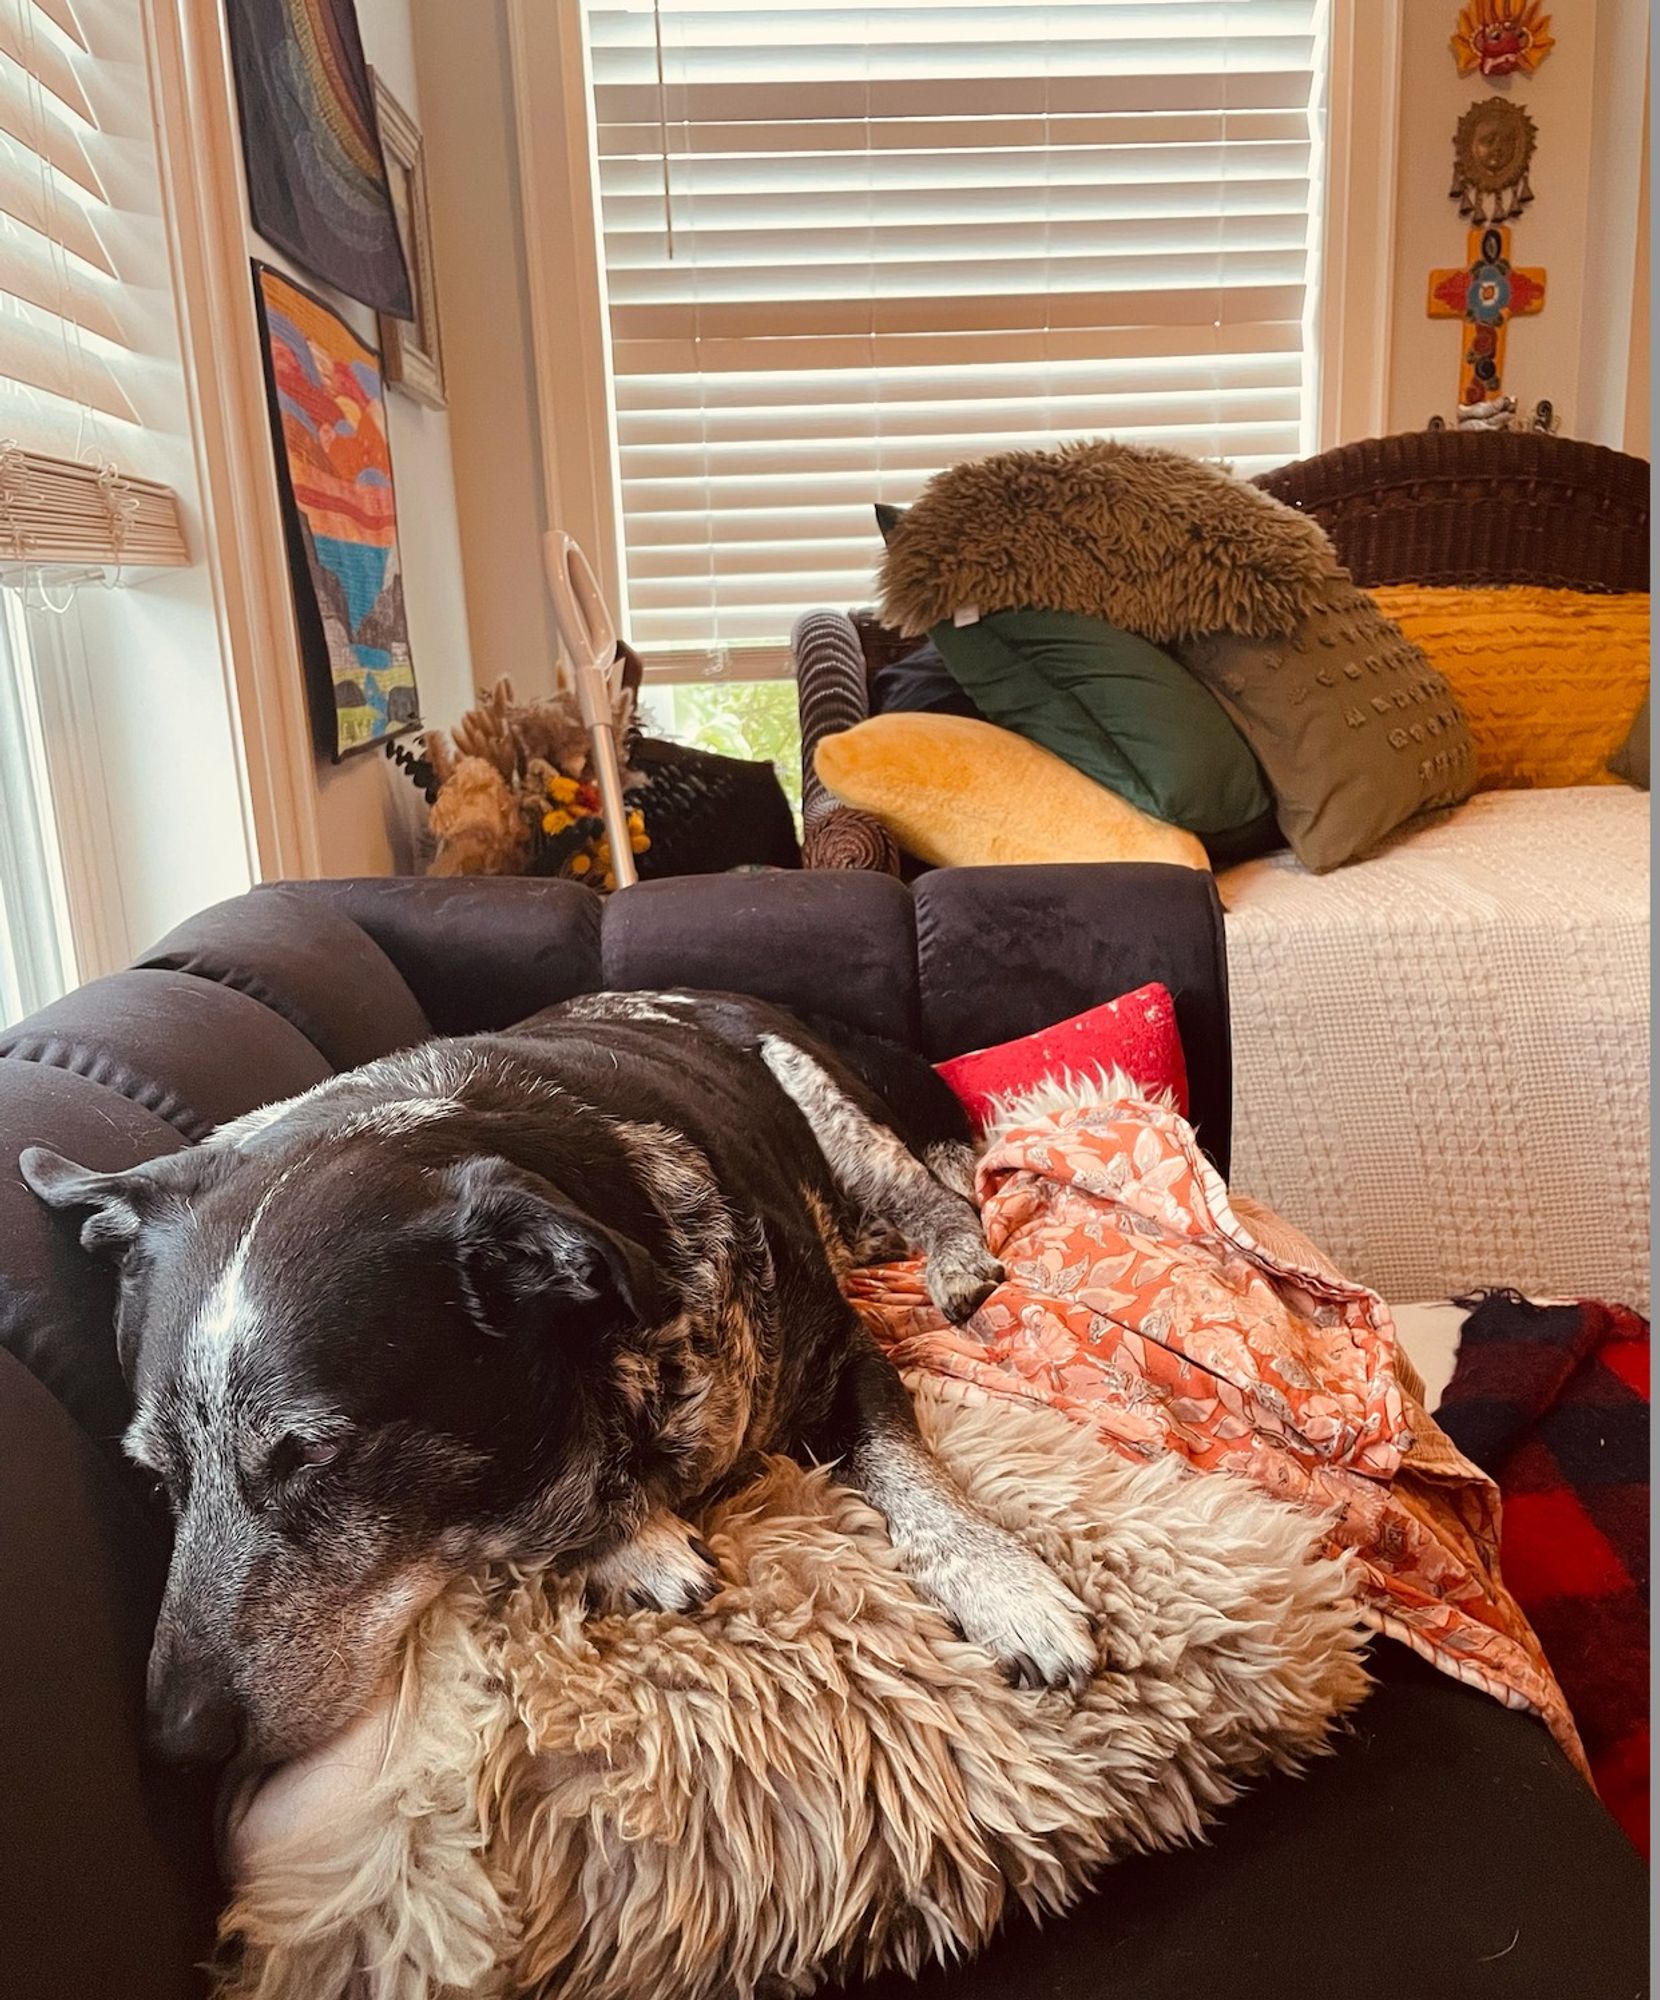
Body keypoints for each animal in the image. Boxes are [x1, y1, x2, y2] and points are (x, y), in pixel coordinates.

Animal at [26, 996, 1104, 1768]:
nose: (177, 1745)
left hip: (833, 1118)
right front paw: (626, 1542)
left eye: (313, 1456)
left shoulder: (844, 1352)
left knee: (941, 1196)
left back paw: (958, 1266)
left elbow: (911, 1473)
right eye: (157, 1477)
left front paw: (1011, 1589)